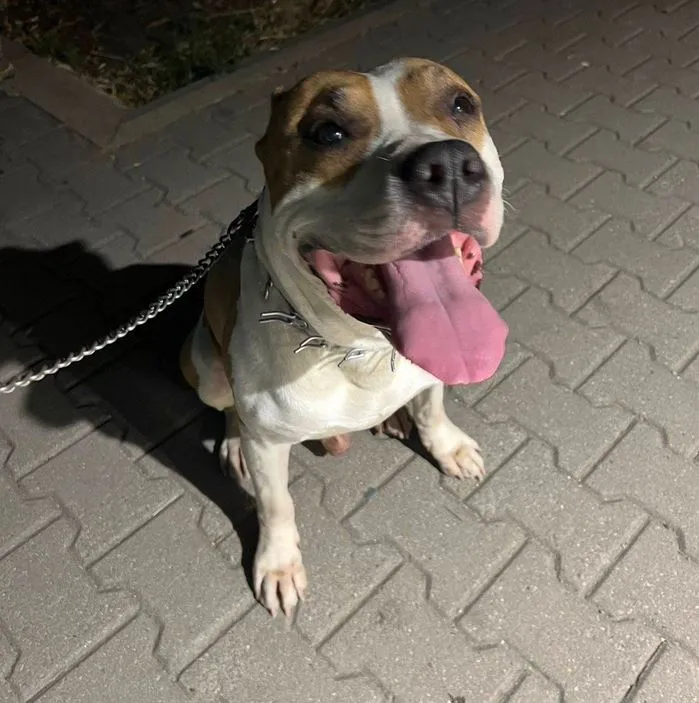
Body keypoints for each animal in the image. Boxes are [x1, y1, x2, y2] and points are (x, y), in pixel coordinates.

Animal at [180, 57, 508, 617]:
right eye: (328, 132)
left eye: (461, 104)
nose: (447, 165)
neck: (356, 352)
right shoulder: (268, 442)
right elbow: (275, 503)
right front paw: (278, 564)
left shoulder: (430, 373)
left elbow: (432, 407)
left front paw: (446, 445)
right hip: (203, 366)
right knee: (226, 406)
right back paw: (232, 442)